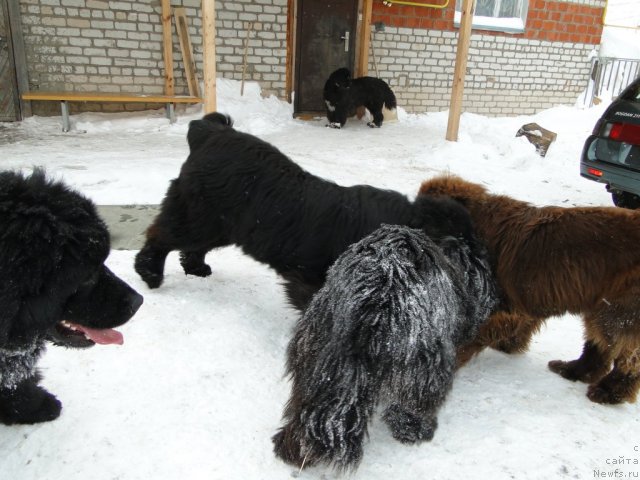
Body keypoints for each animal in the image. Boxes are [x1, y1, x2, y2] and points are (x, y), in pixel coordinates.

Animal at [135, 111, 472, 312]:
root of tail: (211, 132)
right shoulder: (311, 280)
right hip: (198, 216)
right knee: (162, 236)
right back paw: (149, 272)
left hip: (221, 224)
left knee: (192, 245)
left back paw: (196, 268)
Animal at [272, 224, 498, 468]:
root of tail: (378, 296)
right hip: (421, 362)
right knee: (415, 400)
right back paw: (414, 429)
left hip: (317, 344)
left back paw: (295, 448)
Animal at [418, 174, 640, 404]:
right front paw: (509, 344)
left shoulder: (503, 304)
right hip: (599, 303)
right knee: (599, 345)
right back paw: (572, 370)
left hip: (617, 310)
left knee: (626, 354)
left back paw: (609, 391)